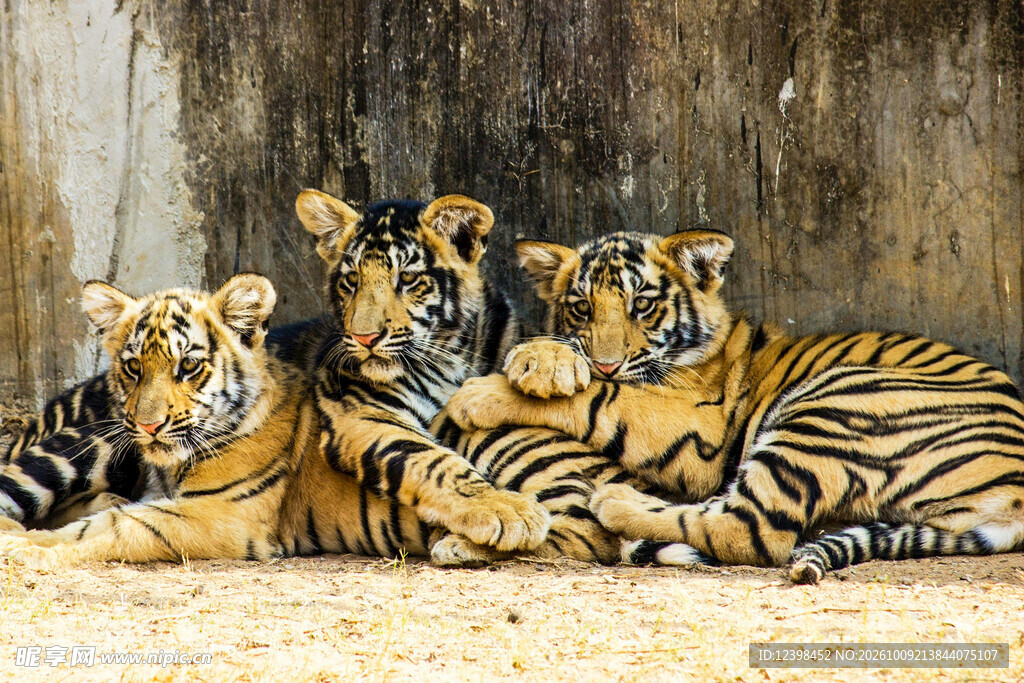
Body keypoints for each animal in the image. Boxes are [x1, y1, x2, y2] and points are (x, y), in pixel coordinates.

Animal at [444, 229, 1024, 583]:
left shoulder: (698, 429)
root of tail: (1012, 500)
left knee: (747, 530)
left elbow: (603, 399)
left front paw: (479, 394)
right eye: (581, 308)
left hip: (835, 403)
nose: (606, 362)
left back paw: (616, 501)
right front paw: (545, 359)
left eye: (643, 305)